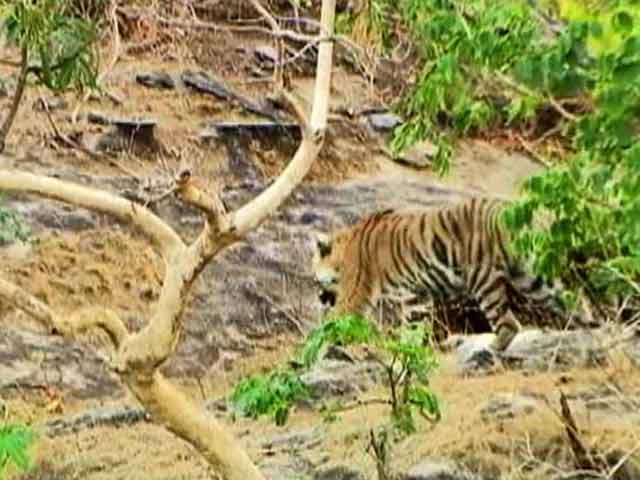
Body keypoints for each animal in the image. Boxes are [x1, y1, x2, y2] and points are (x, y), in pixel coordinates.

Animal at [311, 196, 570, 354]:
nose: (320, 298)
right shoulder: (416, 297)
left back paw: (489, 349)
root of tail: (510, 209)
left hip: (482, 279)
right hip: (530, 275)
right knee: (566, 296)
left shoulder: (355, 293)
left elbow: (333, 323)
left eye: (314, 279)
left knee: (509, 323)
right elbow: (413, 329)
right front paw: (407, 354)